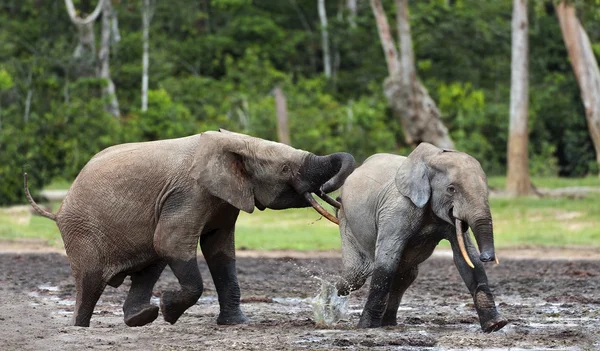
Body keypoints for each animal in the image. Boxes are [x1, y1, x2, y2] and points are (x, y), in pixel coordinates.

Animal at [25, 130, 354, 330]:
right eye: (285, 169)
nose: (331, 194)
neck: (236, 143)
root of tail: (58, 208)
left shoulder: (223, 198)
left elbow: (220, 251)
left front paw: (236, 324)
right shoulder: (189, 193)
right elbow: (172, 243)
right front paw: (169, 310)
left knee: (151, 263)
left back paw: (141, 318)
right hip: (82, 230)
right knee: (92, 281)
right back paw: (82, 326)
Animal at [336, 142, 508, 332]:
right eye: (451, 189)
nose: (487, 257)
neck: (431, 159)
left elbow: (467, 258)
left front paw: (495, 325)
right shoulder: (398, 209)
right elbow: (387, 258)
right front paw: (366, 327)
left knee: (405, 276)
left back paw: (388, 323)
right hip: (346, 218)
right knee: (356, 274)